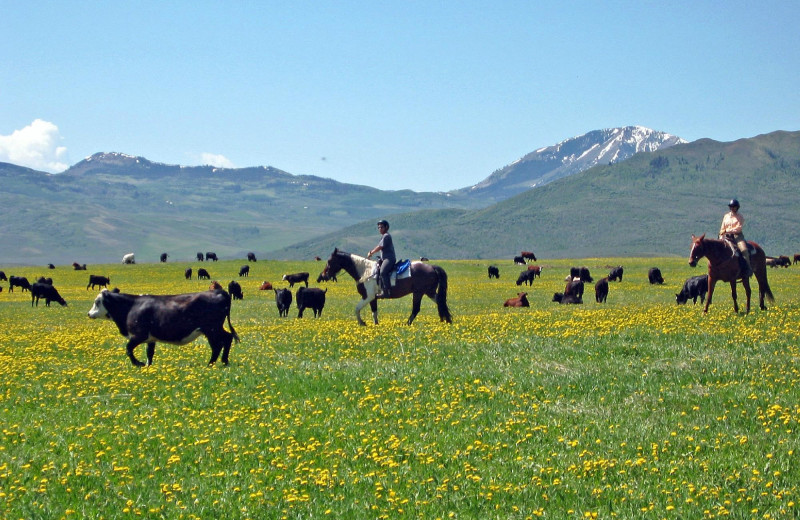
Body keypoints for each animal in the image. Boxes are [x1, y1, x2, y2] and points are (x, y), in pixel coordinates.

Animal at [88, 288, 239, 366]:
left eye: (97, 302)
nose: (89, 313)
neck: (132, 306)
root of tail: (218, 291)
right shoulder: (150, 338)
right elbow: (149, 353)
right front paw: (148, 366)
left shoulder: (138, 335)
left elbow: (128, 349)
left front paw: (138, 363)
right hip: (213, 329)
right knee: (225, 340)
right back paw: (222, 362)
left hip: (212, 329)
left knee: (220, 343)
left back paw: (212, 363)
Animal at [322, 248, 454, 324]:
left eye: (329, 261)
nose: (323, 275)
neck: (365, 271)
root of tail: (432, 267)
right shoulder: (373, 298)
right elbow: (374, 312)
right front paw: (375, 325)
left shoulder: (368, 296)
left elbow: (357, 308)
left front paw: (362, 323)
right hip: (429, 292)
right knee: (440, 302)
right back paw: (446, 321)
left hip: (419, 292)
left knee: (416, 309)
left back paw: (407, 323)